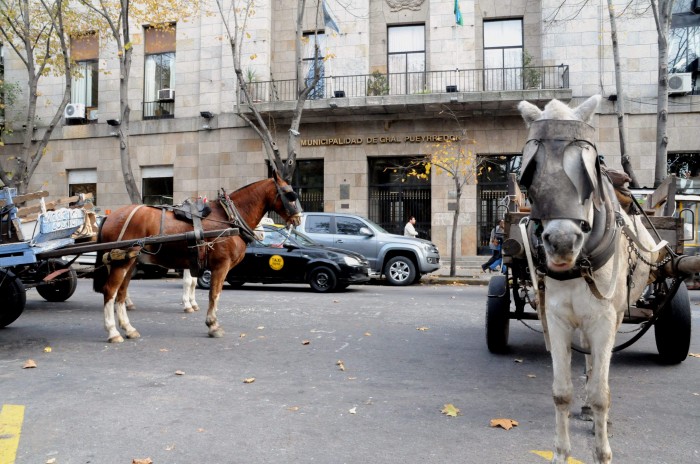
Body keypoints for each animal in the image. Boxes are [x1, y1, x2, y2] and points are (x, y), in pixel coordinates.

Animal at [92, 172, 301, 342]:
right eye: (289, 195)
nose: (298, 219)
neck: (228, 217)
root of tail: (111, 216)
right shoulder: (220, 266)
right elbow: (214, 294)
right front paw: (212, 324)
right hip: (122, 262)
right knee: (110, 291)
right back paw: (112, 331)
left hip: (130, 261)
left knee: (121, 293)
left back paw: (128, 328)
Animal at [517, 95, 661, 464]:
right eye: (531, 177)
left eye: (586, 178)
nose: (562, 242)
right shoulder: (556, 318)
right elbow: (561, 393)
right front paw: (560, 453)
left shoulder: (605, 317)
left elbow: (601, 393)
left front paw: (602, 451)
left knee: (598, 365)